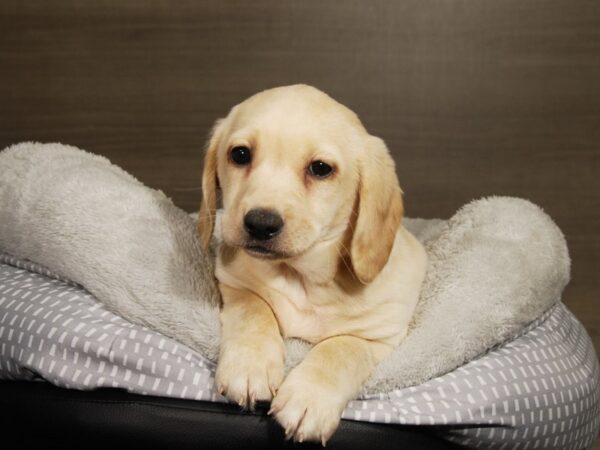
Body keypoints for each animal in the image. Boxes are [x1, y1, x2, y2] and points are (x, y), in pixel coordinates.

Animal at [198, 84, 426, 442]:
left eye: (320, 168)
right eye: (240, 154)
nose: (260, 223)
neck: (299, 275)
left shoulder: (378, 336)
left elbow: (339, 350)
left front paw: (309, 398)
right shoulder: (234, 284)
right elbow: (254, 311)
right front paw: (249, 364)